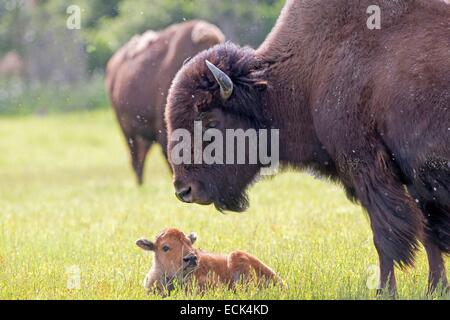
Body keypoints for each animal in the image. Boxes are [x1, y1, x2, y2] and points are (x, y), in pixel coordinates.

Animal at [165, 0, 450, 298]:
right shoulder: (415, 181)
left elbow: (386, 237)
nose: (184, 190)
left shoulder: (370, 170)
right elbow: (429, 234)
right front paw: (436, 288)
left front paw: (385, 290)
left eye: (210, 122)